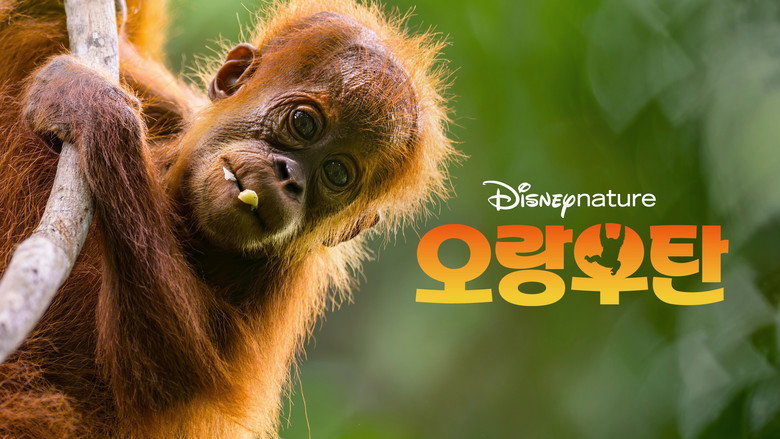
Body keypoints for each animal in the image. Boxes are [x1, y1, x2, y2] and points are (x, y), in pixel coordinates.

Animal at [0, 0, 455, 437]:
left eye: (337, 173)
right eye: (303, 122)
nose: (290, 178)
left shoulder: (277, 288)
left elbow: (164, 375)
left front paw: (92, 108)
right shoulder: (171, 109)